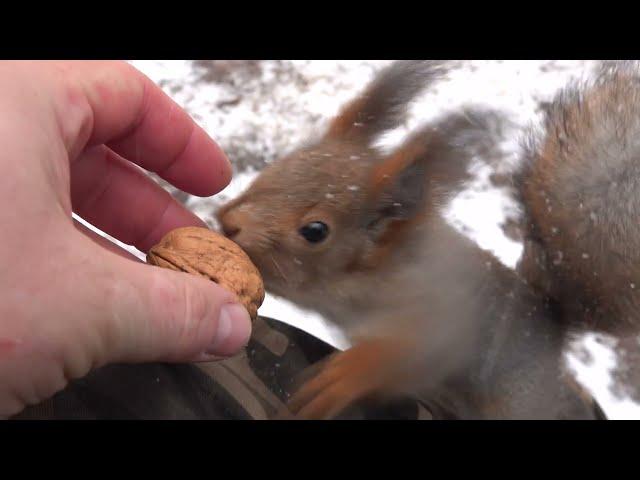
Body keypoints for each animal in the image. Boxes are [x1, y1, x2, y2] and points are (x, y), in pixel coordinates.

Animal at [218, 61, 608, 420]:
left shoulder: (447, 317)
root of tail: (552, 331)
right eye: (275, 168)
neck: (379, 272)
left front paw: (345, 376)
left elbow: (411, 355)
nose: (229, 222)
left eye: (315, 231)